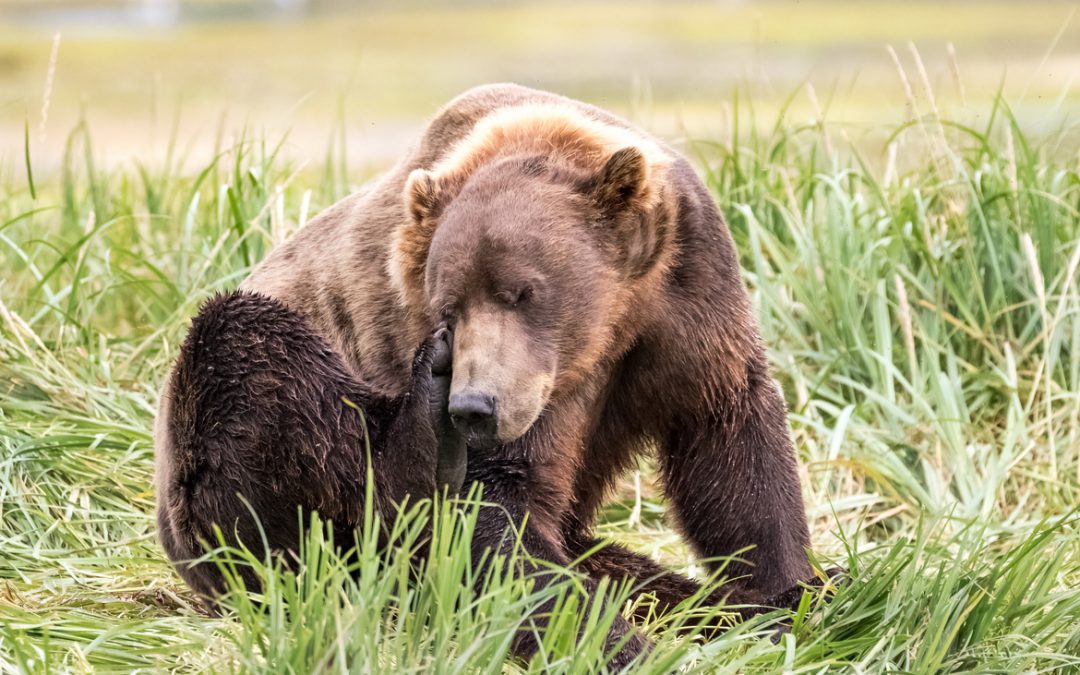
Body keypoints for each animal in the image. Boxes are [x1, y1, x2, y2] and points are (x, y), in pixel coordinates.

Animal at [157, 83, 822, 669]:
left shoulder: (685, 291)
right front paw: (622, 646)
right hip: (213, 467)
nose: (474, 406)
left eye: (522, 291)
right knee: (251, 361)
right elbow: (495, 516)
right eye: (447, 308)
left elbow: (727, 436)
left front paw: (790, 591)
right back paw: (423, 441)